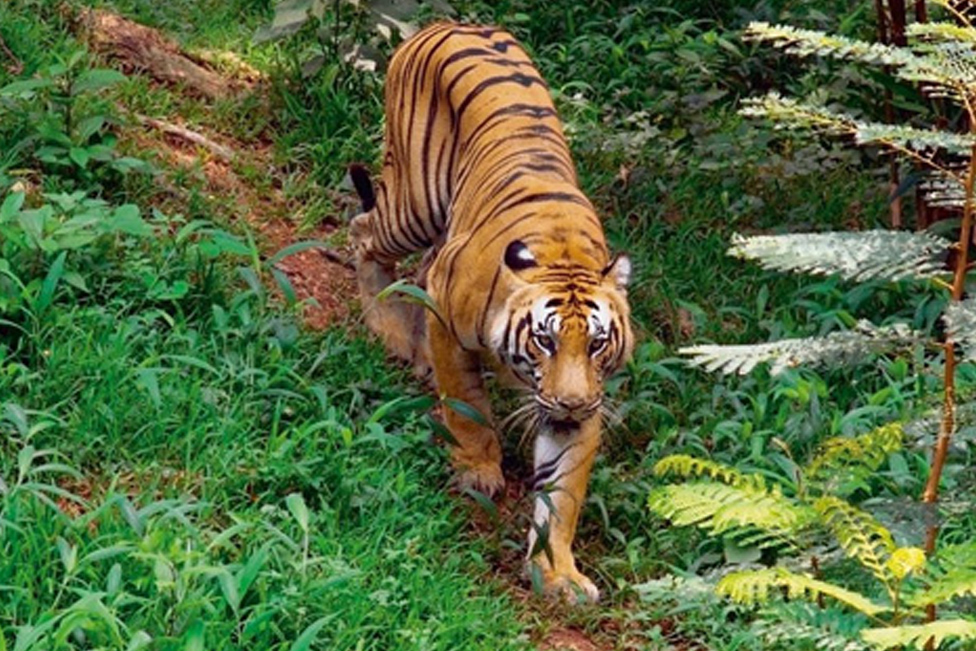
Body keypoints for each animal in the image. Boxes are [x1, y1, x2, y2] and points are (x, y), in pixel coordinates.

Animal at [346, 22, 636, 604]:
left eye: (597, 343)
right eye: (545, 340)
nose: (571, 403)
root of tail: (447, 23)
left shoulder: (585, 402)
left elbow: (563, 493)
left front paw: (557, 573)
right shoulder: (450, 323)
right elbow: (467, 405)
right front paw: (478, 469)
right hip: (414, 204)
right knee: (364, 232)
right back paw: (390, 331)